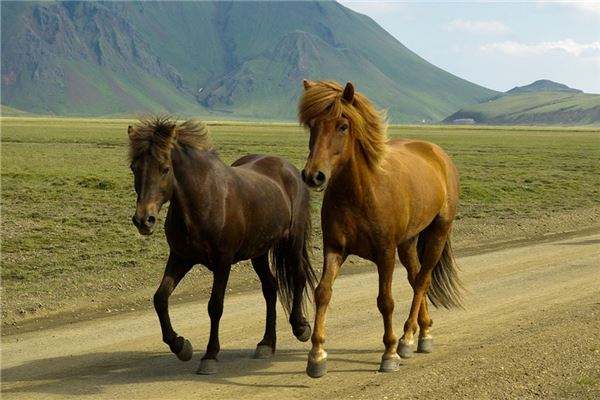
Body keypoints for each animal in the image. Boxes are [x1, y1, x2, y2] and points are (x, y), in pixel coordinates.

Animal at [125, 116, 314, 376]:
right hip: (259, 251)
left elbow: (215, 307)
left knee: (297, 277)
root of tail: (289, 168)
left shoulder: (222, 263)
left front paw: (210, 356)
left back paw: (300, 327)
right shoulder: (180, 257)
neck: (203, 202)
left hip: (292, 240)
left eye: (165, 168)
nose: (144, 220)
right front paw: (180, 346)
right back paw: (267, 343)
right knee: (270, 287)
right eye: (134, 168)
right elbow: (160, 298)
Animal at [300, 80, 464, 378]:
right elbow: (322, 292)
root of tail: (437, 153)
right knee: (415, 277)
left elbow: (385, 301)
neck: (359, 192)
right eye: (312, 125)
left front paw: (389, 352)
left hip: (438, 232)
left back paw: (407, 338)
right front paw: (317, 355)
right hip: (408, 242)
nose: (313, 175)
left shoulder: (385, 253)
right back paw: (423, 333)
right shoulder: (334, 249)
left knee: (423, 280)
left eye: (342, 126)